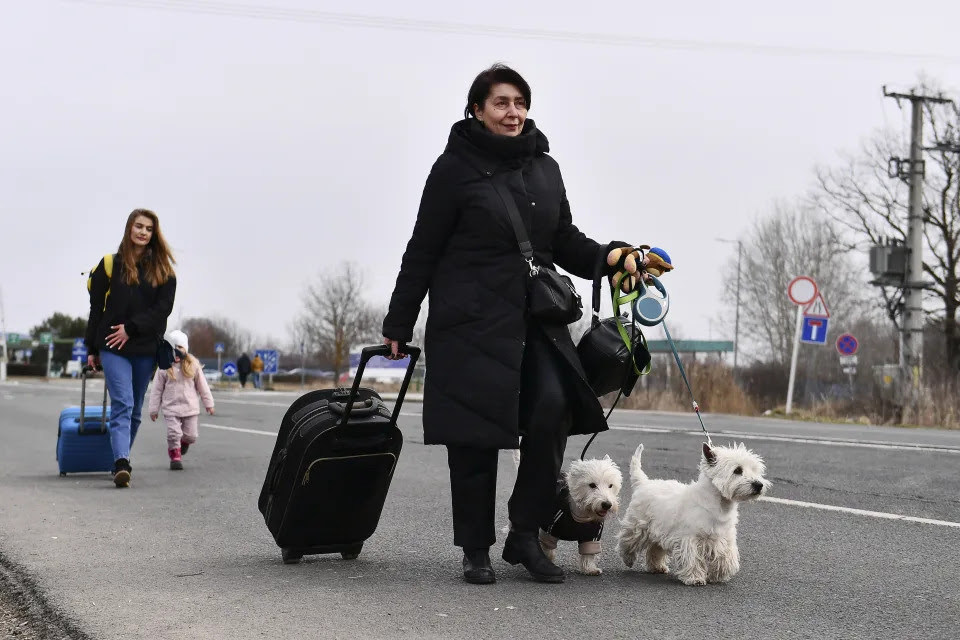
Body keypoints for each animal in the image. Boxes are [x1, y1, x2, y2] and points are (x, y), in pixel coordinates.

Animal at [616, 444, 772, 584]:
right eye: (737, 470)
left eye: (755, 469)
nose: (759, 485)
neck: (720, 506)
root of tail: (643, 483)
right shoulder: (690, 538)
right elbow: (692, 558)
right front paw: (695, 578)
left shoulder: (724, 539)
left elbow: (726, 558)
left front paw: (719, 575)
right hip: (638, 524)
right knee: (627, 540)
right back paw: (628, 559)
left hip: (659, 530)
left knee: (655, 548)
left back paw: (657, 567)